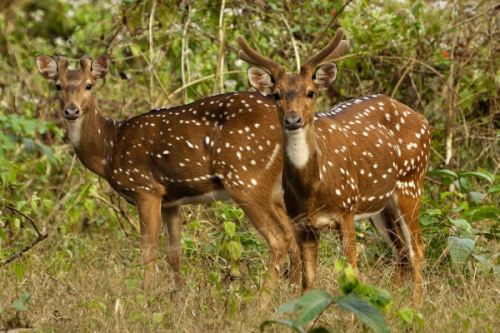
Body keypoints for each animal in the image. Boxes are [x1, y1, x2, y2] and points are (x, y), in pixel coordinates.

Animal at [36, 53, 300, 306]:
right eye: (58, 86)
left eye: (89, 85)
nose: (71, 111)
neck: (109, 149)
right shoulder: (171, 201)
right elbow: (174, 253)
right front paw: (179, 296)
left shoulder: (146, 188)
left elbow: (148, 251)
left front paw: (145, 299)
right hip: (274, 188)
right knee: (295, 235)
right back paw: (293, 295)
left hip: (245, 178)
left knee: (280, 238)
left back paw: (261, 306)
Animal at [237, 29, 430, 302]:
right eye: (276, 95)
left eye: (310, 92)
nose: (293, 120)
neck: (312, 189)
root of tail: (424, 120)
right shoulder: (302, 223)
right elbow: (308, 282)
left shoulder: (346, 209)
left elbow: (352, 272)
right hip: (380, 206)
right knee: (401, 251)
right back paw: (390, 301)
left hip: (411, 183)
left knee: (417, 248)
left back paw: (416, 305)